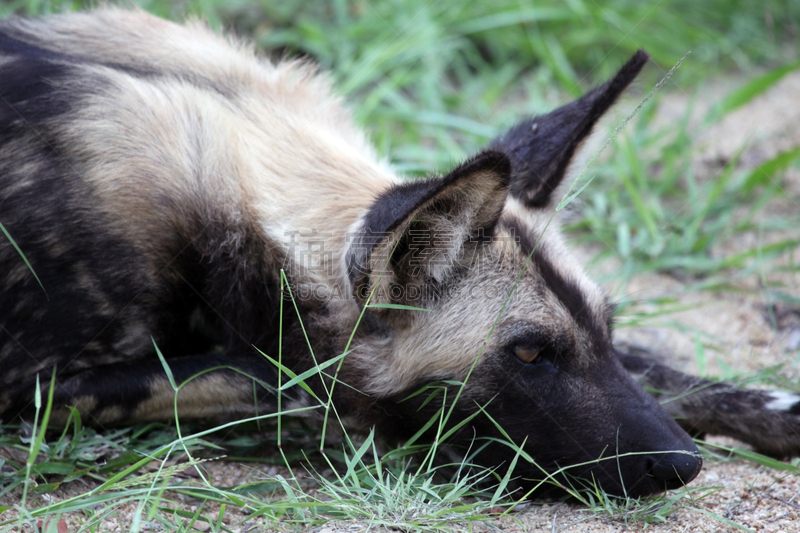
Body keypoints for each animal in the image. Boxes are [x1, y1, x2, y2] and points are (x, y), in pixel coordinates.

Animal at [1, 7, 800, 498]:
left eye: (606, 325)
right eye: (529, 354)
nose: (685, 463)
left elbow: (654, 367)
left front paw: (770, 407)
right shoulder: (32, 387)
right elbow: (299, 379)